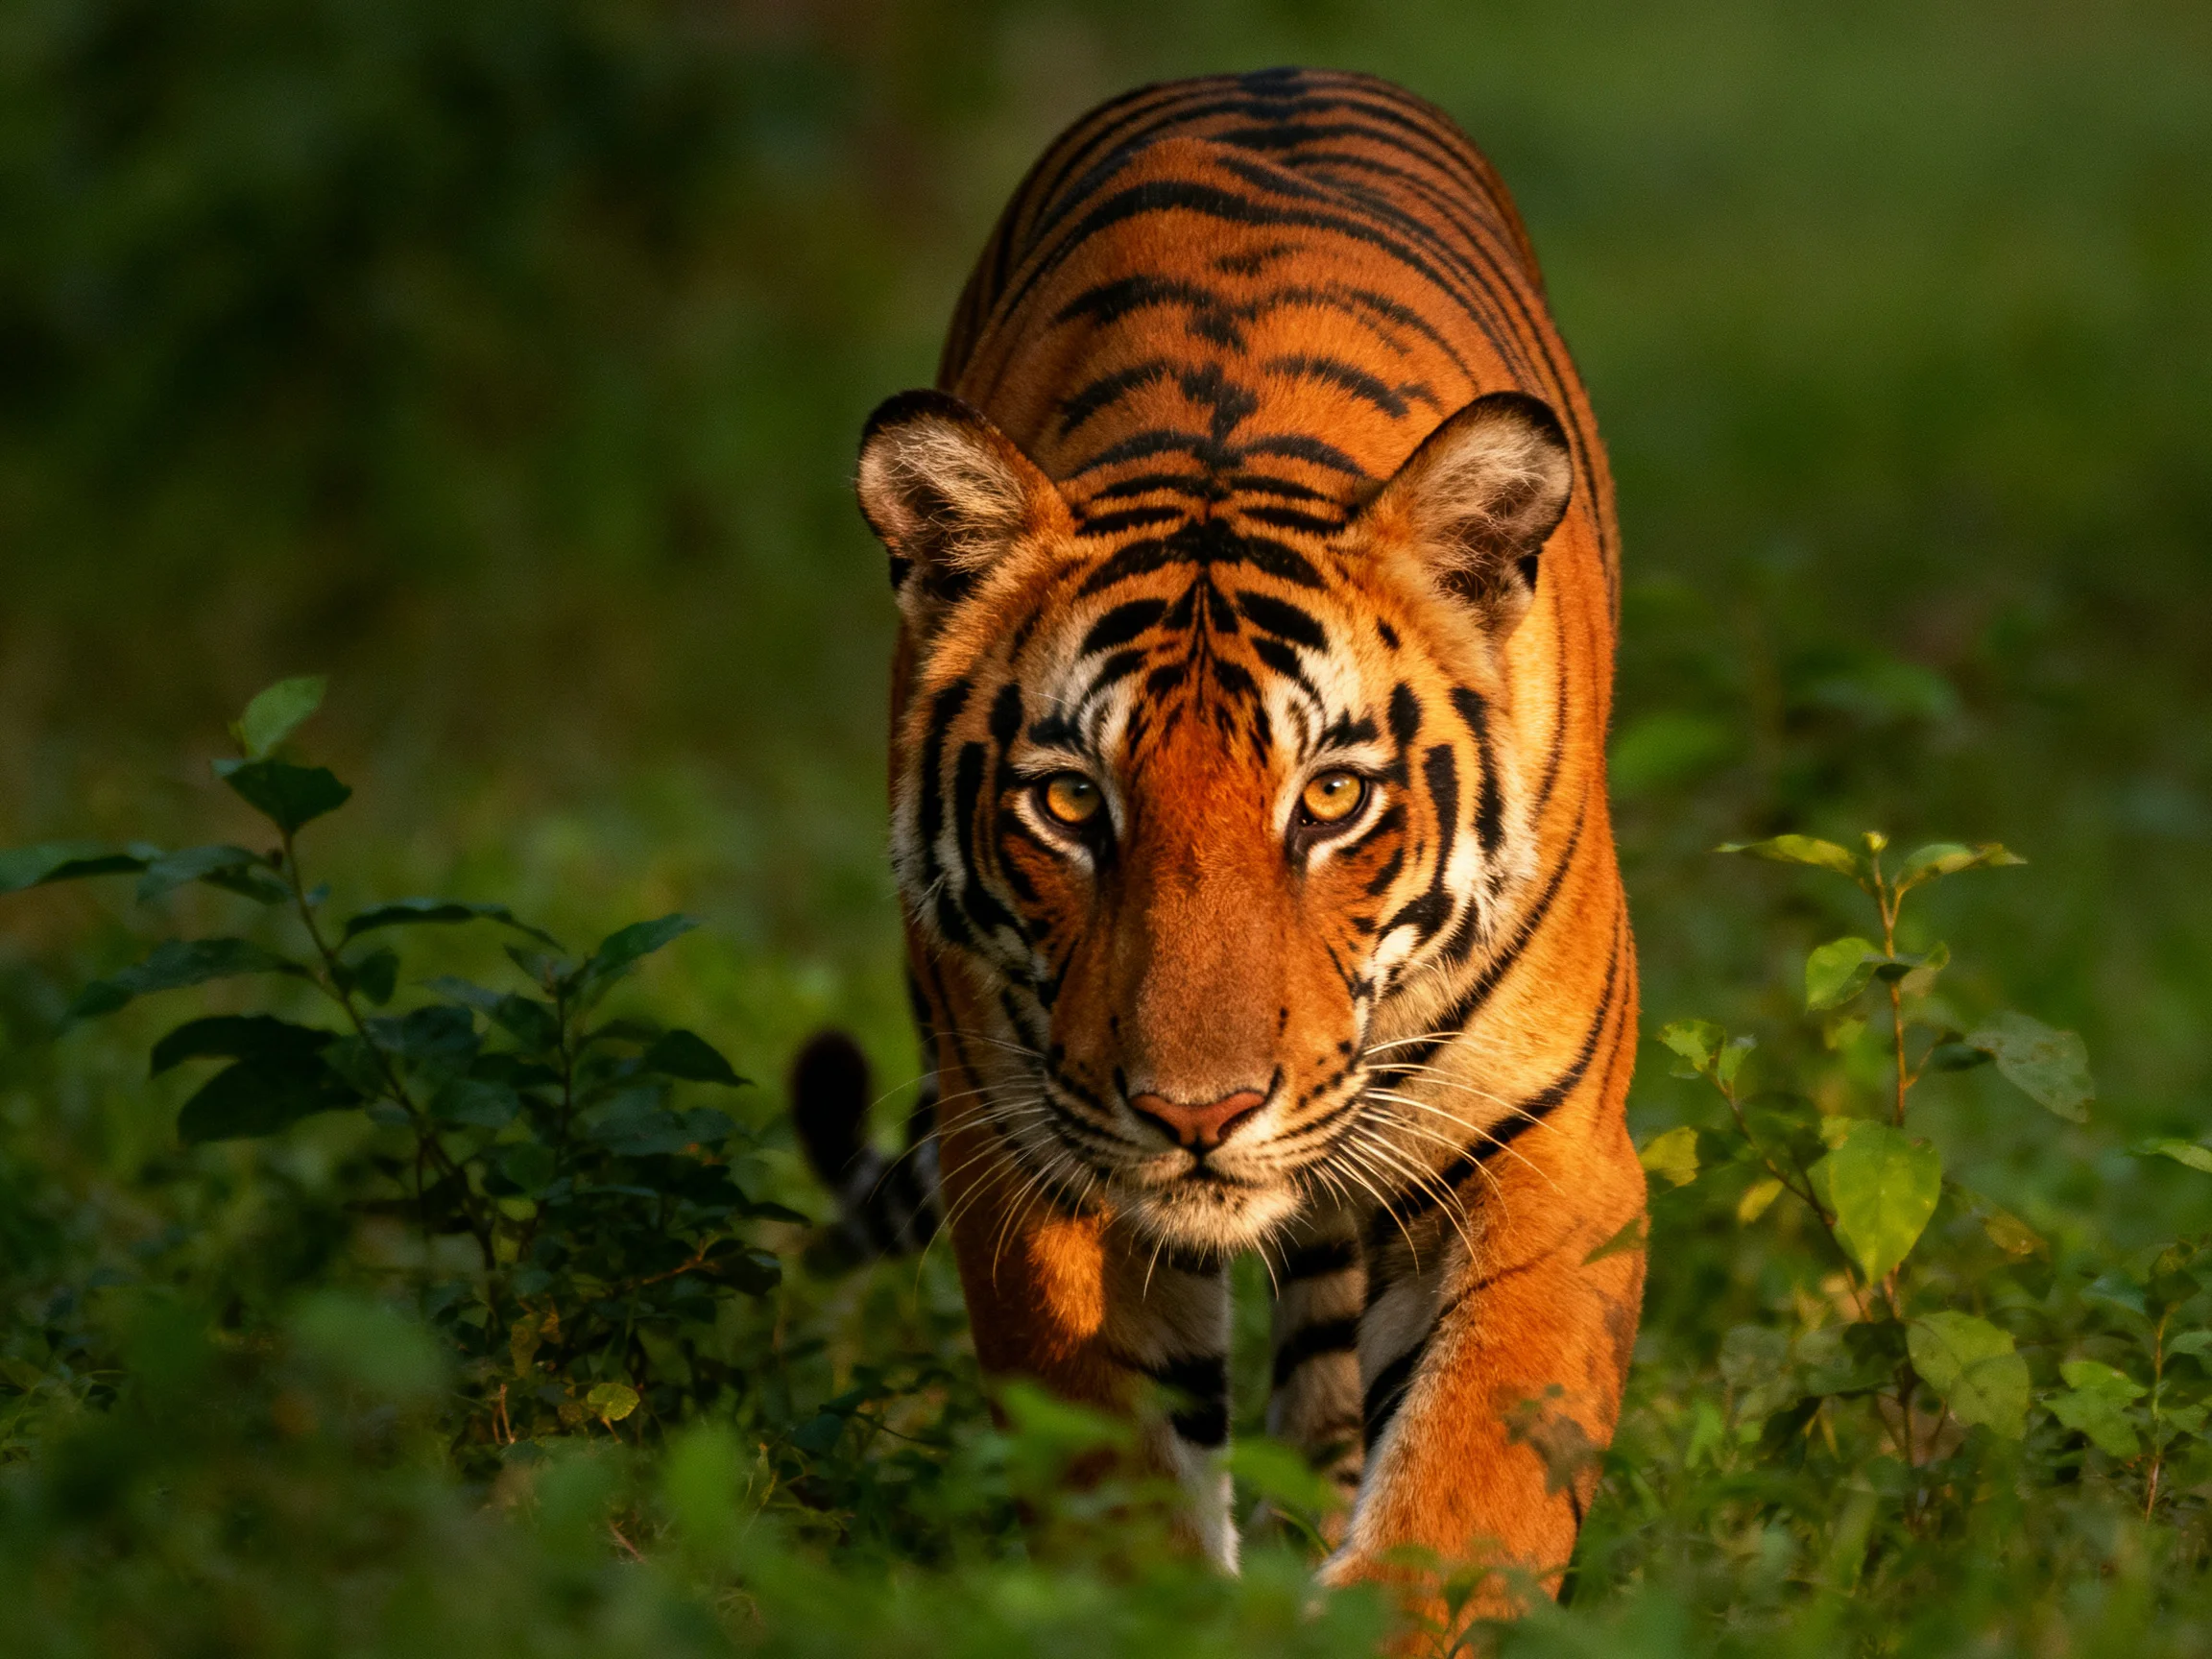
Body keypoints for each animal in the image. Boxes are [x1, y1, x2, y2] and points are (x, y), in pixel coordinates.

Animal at [796, 66, 1644, 1634]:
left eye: (1332, 800)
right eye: (1073, 806)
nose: (1201, 1114)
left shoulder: (1548, 1155)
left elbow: (1463, 1498)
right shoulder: (1028, 1156)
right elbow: (1117, 1483)